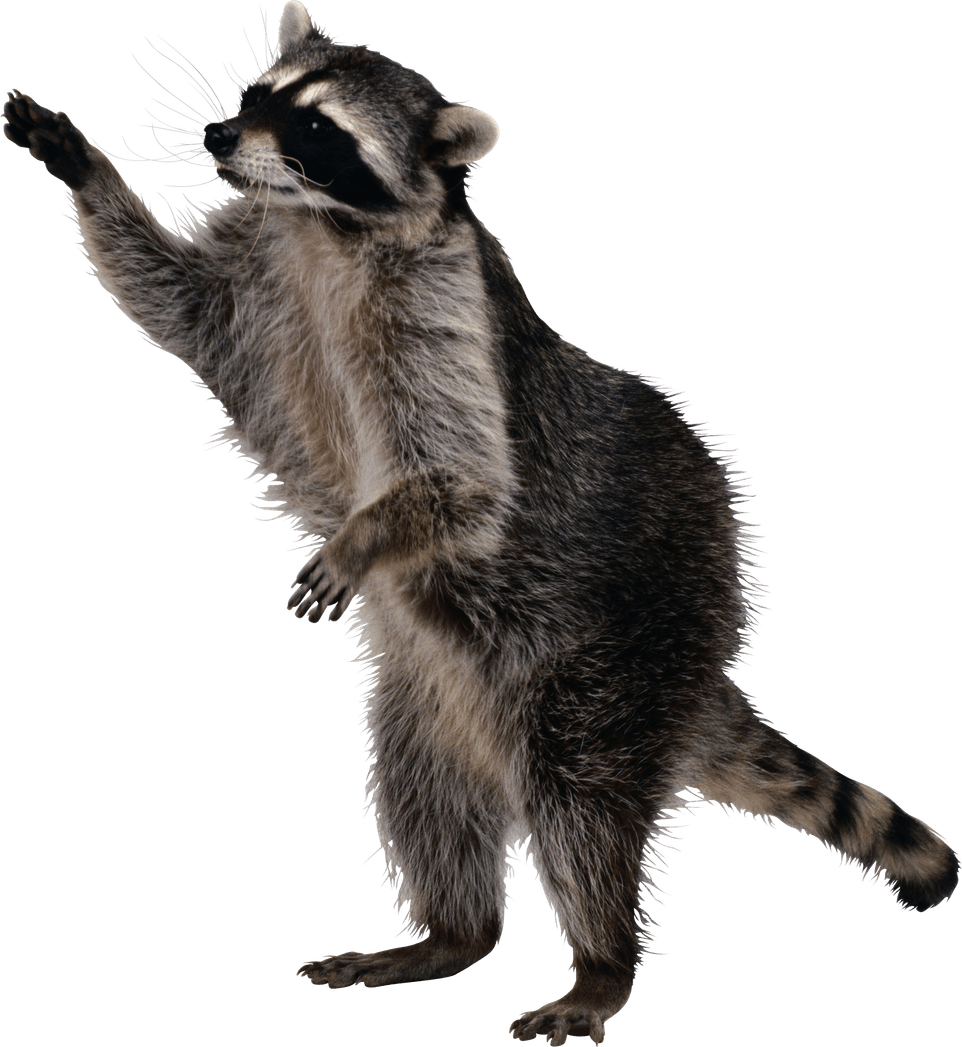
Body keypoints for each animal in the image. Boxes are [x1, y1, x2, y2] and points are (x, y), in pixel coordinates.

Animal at [4, 3, 957, 1043]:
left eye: (317, 130)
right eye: (260, 96)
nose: (219, 135)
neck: (319, 226)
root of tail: (695, 669)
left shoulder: (442, 310)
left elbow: (466, 477)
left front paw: (366, 534)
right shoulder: (253, 277)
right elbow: (165, 297)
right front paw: (82, 165)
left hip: (616, 648)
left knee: (580, 802)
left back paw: (603, 961)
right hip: (433, 690)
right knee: (424, 790)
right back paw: (452, 933)